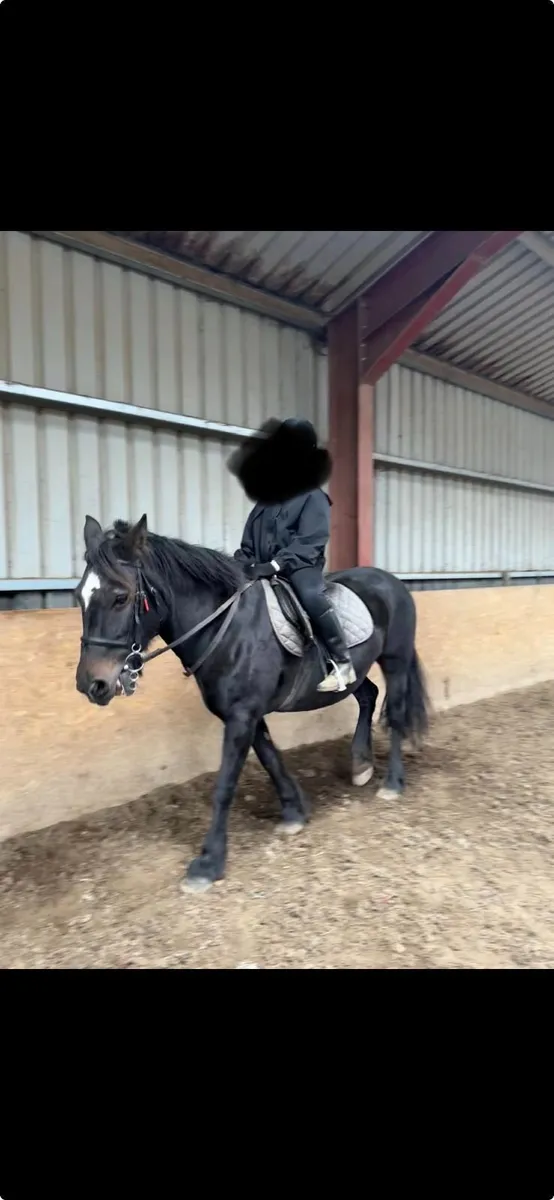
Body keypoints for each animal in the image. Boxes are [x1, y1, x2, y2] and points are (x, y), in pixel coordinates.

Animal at [75, 514, 430, 892]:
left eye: (121, 597)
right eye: (79, 596)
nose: (91, 684)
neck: (225, 627)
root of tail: (390, 581)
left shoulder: (241, 716)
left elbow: (225, 785)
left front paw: (208, 862)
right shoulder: (246, 714)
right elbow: (270, 757)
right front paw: (294, 811)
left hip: (395, 661)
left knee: (395, 714)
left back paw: (392, 783)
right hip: (355, 676)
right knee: (367, 696)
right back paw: (361, 764)